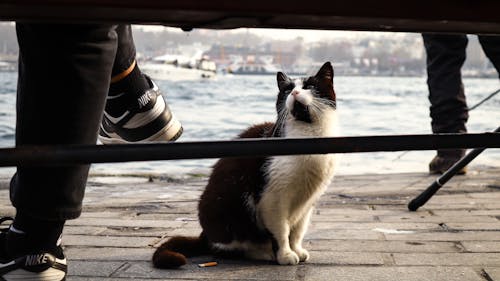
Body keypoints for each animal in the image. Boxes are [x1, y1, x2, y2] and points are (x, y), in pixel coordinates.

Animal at [152, 61, 340, 266]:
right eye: (287, 90)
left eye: (309, 86)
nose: (295, 93)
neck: (308, 136)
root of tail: (204, 236)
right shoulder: (272, 198)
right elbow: (281, 231)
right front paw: (285, 255)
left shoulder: (308, 201)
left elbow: (298, 231)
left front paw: (296, 250)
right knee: (228, 248)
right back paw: (262, 253)